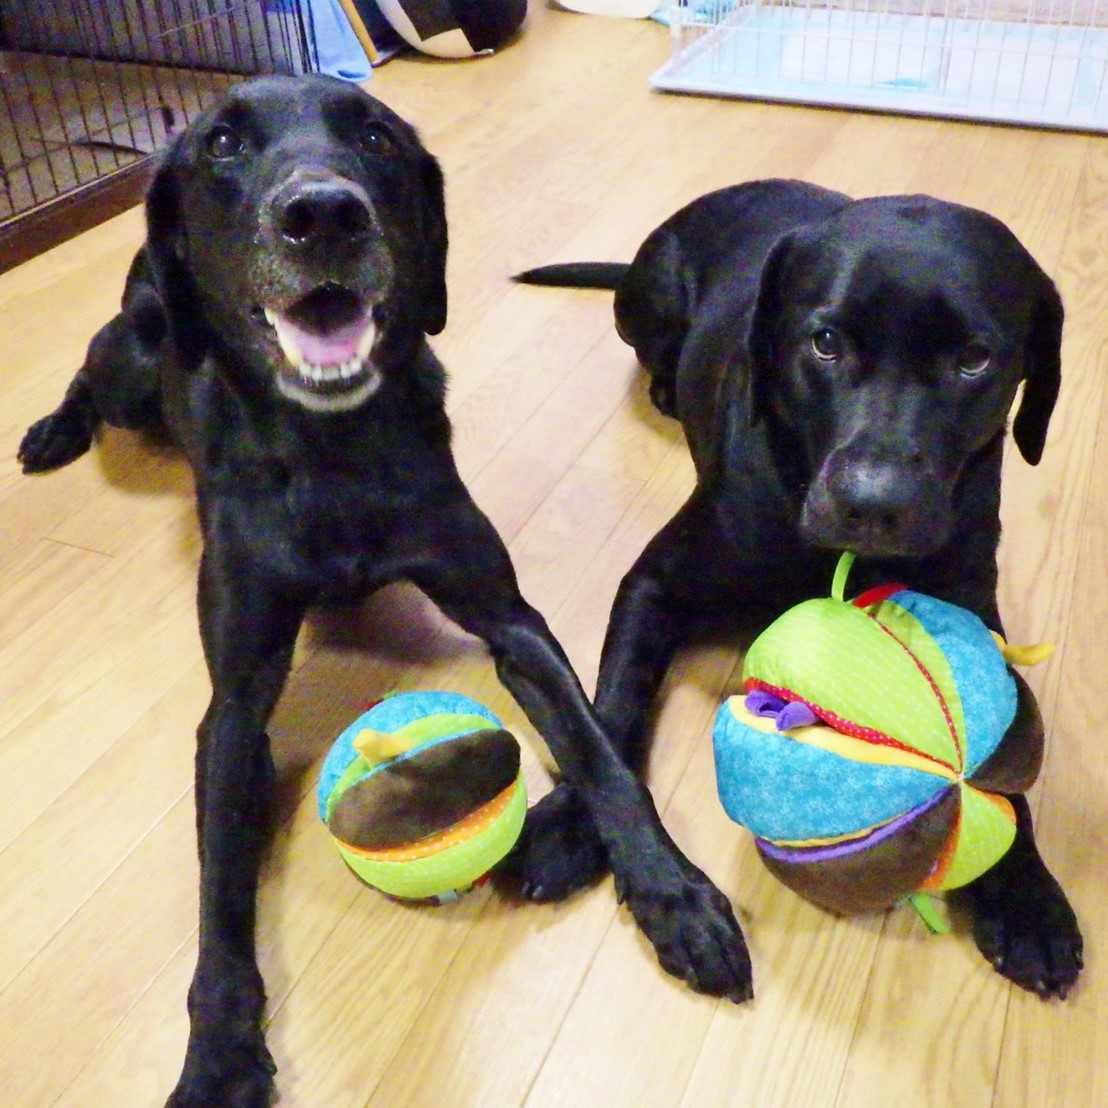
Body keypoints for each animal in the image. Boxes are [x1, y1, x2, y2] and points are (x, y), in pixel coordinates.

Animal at [18, 76, 752, 1106]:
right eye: (222, 144)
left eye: (373, 136)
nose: (323, 212)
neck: (333, 455)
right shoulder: (233, 706)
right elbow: (217, 898)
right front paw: (218, 1054)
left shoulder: (510, 621)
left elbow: (602, 757)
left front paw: (673, 894)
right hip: (134, 363)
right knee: (91, 369)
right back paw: (52, 430)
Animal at [512, 178, 1083, 1000]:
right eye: (826, 342)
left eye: (975, 360)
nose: (875, 502)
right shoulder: (653, 583)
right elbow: (609, 713)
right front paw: (577, 834)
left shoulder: (973, 605)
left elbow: (1001, 741)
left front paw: (1028, 896)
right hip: (646, 302)